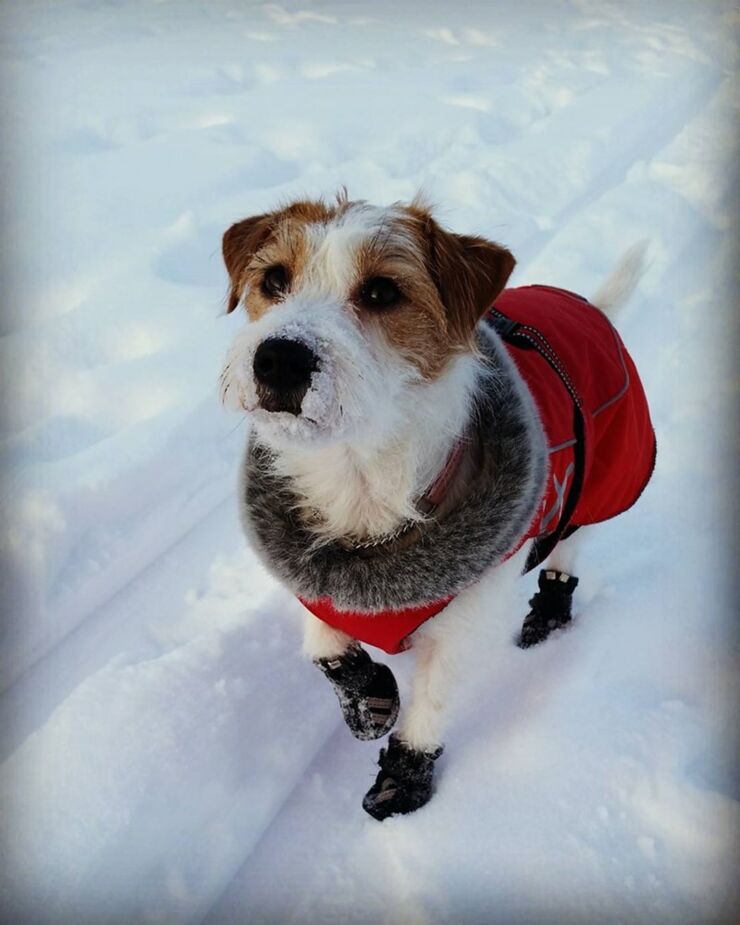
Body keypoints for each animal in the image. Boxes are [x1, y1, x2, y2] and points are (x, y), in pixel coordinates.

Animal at [218, 193, 652, 816]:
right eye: (274, 279)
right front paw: (366, 693)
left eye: (381, 292)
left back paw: (549, 612)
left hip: (600, 481)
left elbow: (432, 700)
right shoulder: (312, 579)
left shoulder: (466, 619)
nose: (278, 358)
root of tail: (590, 308)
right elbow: (322, 641)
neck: (362, 475)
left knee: (570, 542)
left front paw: (406, 773)